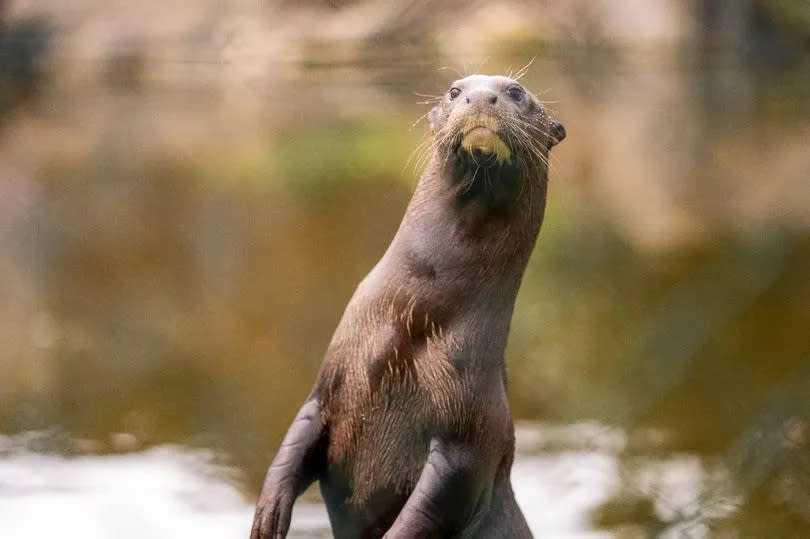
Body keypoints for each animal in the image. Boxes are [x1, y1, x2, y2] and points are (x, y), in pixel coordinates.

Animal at [251, 74, 560, 536]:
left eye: (516, 92)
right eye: (455, 91)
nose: (480, 97)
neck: (409, 324)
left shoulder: (466, 442)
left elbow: (426, 511)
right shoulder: (328, 386)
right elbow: (292, 445)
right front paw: (267, 517)